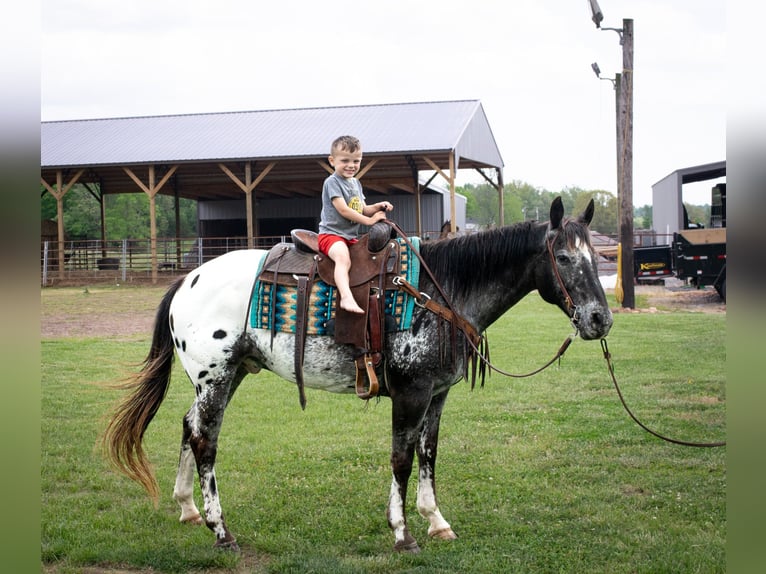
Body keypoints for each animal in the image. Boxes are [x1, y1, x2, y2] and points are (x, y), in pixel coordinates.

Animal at [103, 197, 616, 552]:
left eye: (598, 258)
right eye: (564, 258)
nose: (600, 320)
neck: (439, 291)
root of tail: (188, 280)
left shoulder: (437, 395)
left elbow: (429, 455)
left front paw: (436, 520)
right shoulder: (411, 394)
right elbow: (402, 460)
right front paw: (403, 533)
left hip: (228, 376)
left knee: (189, 428)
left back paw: (189, 509)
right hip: (215, 377)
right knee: (206, 441)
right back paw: (220, 529)